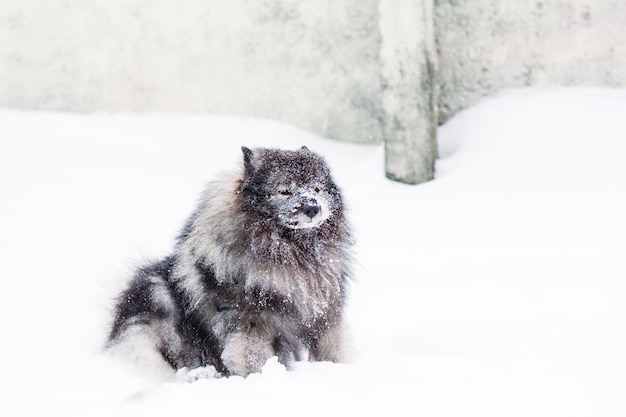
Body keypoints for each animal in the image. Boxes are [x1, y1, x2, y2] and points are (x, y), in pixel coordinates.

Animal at [105, 145, 354, 376]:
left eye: (317, 189)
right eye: (284, 191)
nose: (313, 207)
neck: (291, 252)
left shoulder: (325, 316)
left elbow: (335, 350)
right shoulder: (251, 325)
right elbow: (253, 360)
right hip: (158, 304)